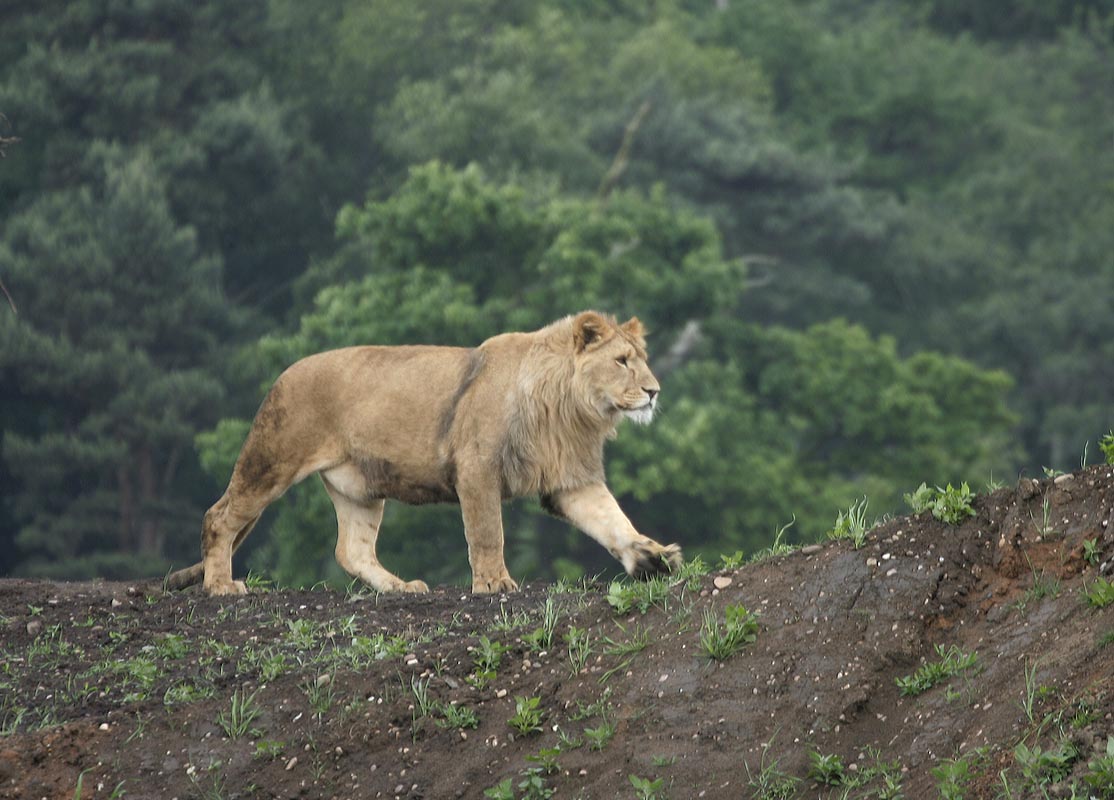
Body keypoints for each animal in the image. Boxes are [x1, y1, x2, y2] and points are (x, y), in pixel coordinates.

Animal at [166, 311, 683, 596]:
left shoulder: (571, 480)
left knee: (351, 549)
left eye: (641, 360)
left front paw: (653, 557)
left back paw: (400, 588)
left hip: (359, 487)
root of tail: (282, 375)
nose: (655, 391)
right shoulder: (476, 467)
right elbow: (487, 532)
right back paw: (221, 586)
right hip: (272, 459)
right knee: (219, 516)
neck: (572, 408)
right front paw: (494, 584)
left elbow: (613, 522)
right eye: (622, 362)